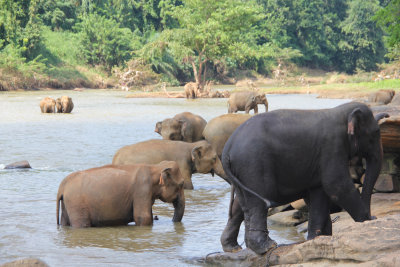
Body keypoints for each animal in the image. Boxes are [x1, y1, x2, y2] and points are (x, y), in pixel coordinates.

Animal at [55, 161, 184, 228]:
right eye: (182, 184)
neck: (155, 167)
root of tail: (62, 185)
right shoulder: (142, 190)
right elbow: (144, 217)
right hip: (77, 204)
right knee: (82, 224)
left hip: (68, 204)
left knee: (65, 222)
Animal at [220, 102, 390, 255]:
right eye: (375, 133)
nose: (373, 216)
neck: (341, 111)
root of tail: (227, 149)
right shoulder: (332, 146)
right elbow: (336, 185)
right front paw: (366, 222)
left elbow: (318, 193)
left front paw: (319, 237)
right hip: (253, 164)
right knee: (258, 201)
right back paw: (267, 247)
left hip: (242, 172)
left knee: (241, 204)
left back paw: (234, 248)